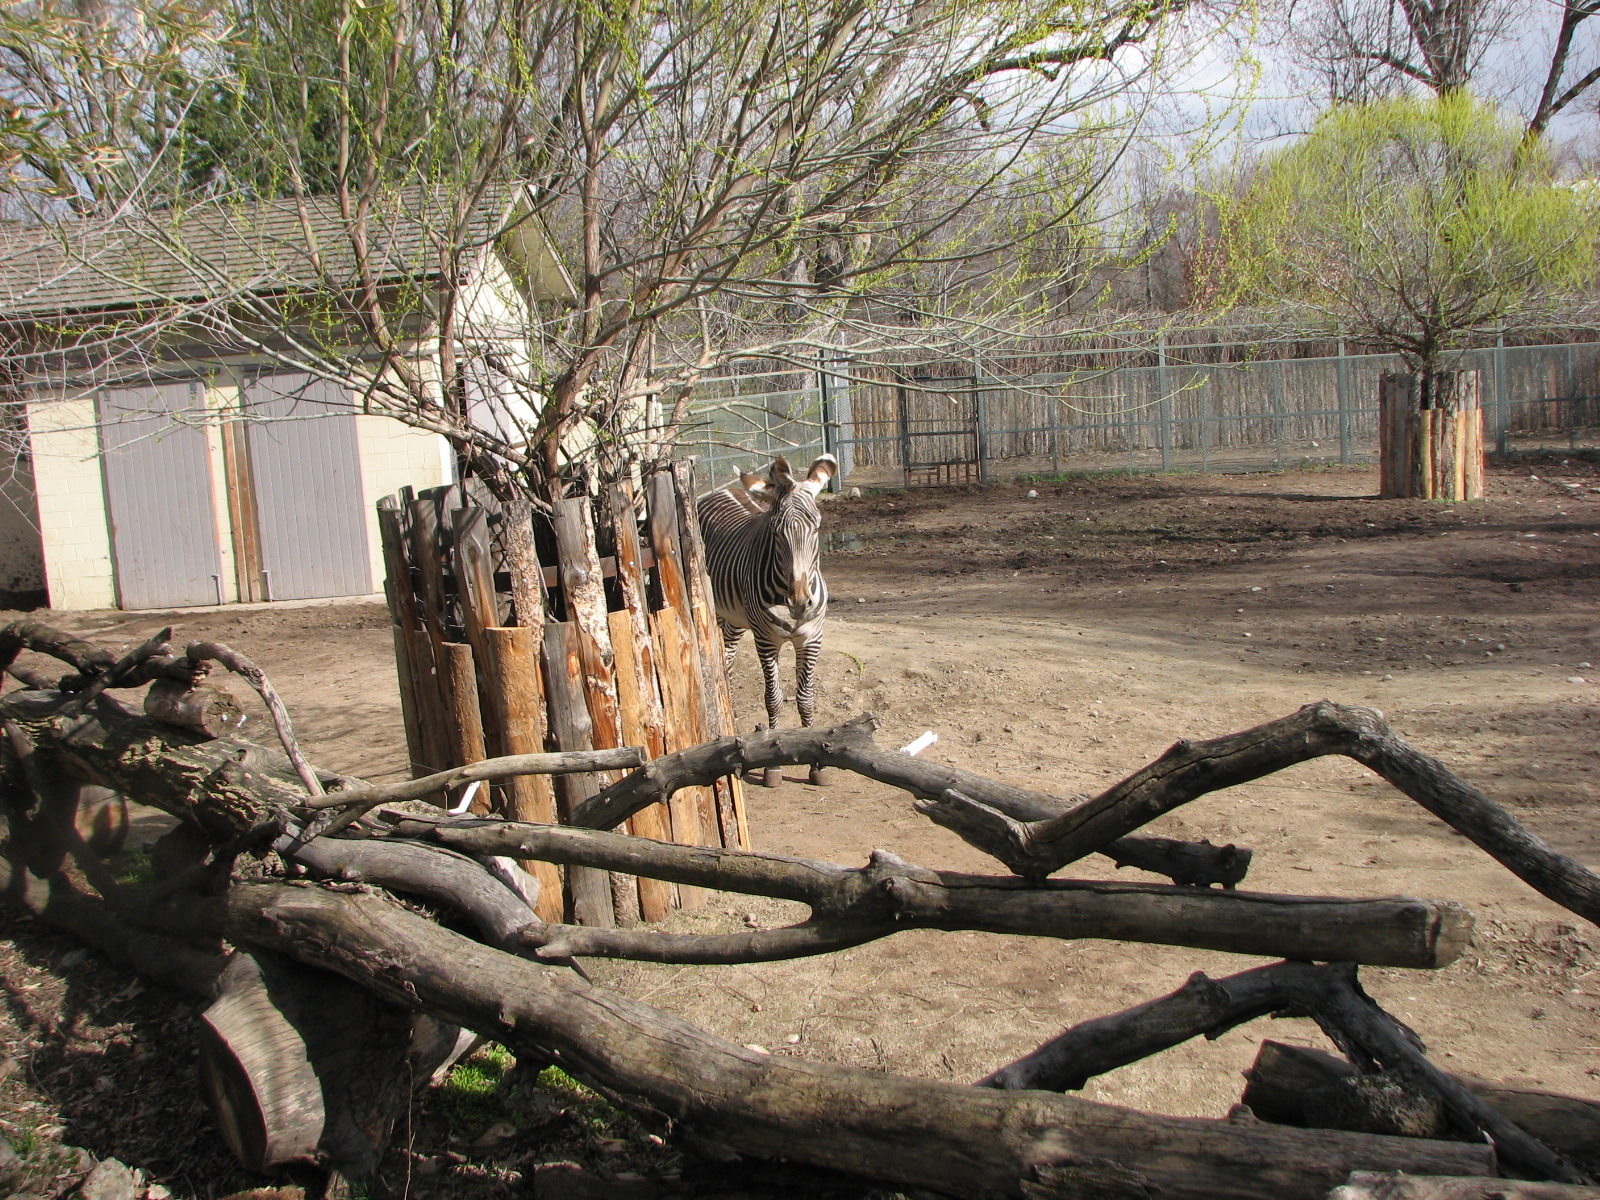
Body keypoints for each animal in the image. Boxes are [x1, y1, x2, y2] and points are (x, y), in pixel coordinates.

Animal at [698, 454, 837, 786]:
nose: (799, 602)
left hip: (736, 619)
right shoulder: (765, 640)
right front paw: (771, 766)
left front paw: (817, 762)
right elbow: (773, 697)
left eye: (816, 528)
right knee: (724, 665)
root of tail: (724, 490)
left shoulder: (812, 638)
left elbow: (805, 697)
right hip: (719, 611)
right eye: (775, 532)